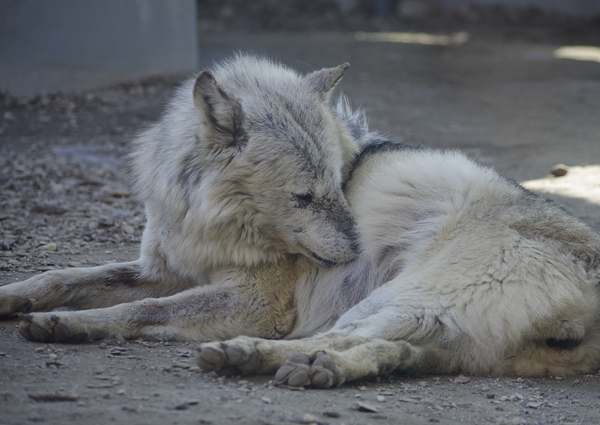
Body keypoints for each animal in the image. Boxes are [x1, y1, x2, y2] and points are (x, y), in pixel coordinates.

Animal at [1, 54, 600, 386]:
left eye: (340, 184)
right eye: (304, 197)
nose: (356, 253)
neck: (209, 222)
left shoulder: (256, 301)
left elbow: (140, 310)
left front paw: (67, 323)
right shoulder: (163, 267)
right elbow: (64, 276)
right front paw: (17, 297)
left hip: (402, 297)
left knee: (335, 338)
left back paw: (251, 355)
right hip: (442, 337)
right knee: (392, 352)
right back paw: (320, 371)